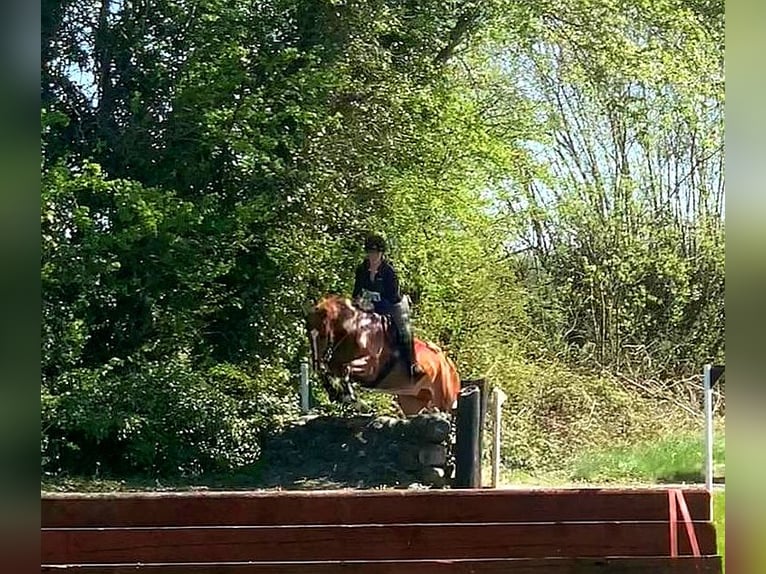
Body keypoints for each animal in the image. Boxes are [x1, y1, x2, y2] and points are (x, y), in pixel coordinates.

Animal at [306, 296, 462, 414]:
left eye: (322, 335)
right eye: (308, 334)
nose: (316, 364)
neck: (355, 331)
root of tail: (450, 365)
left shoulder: (370, 367)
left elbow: (347, 370)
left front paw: (353, 400)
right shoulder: (335, 363)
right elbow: (331, 372)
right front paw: (337, 394)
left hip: (444, 399)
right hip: (412, 401)